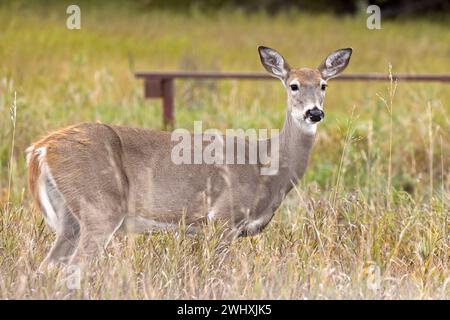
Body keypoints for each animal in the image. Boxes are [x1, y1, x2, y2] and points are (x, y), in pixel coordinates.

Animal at [26, 45, 352, 270]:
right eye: (293, 85)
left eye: (323, 85)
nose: (314, 112)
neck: (266, 168)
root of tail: (41, 148)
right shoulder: (223, 217)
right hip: (100, 207)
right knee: (74, 268)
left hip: (70, 218)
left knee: (47, 267)